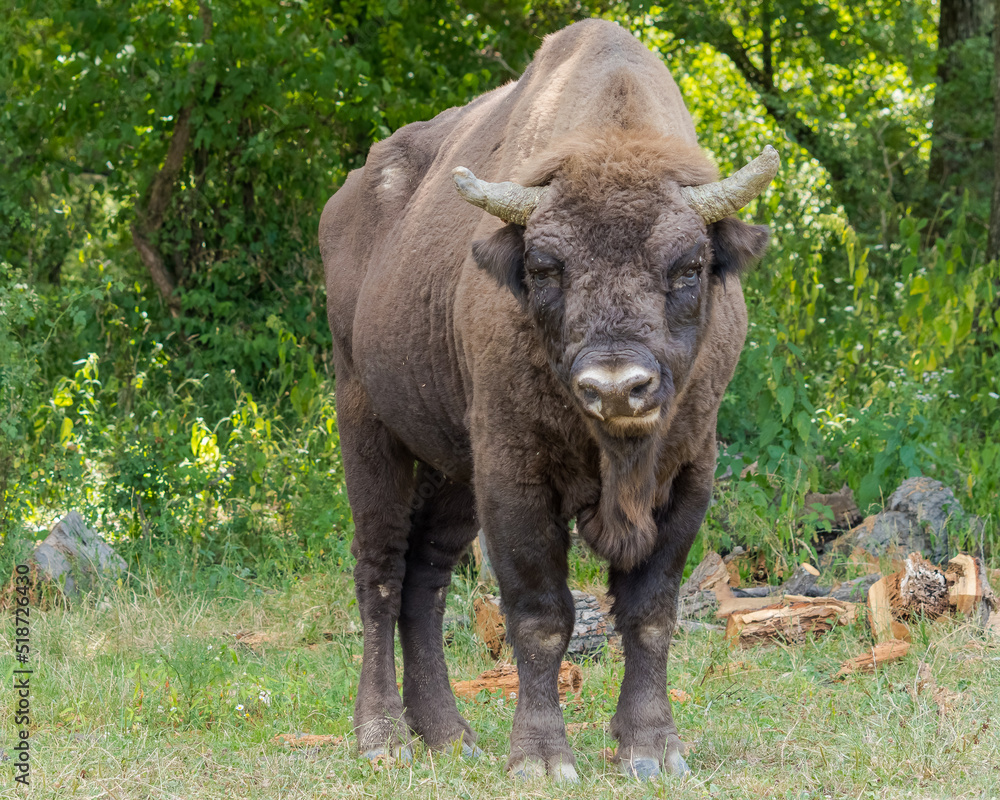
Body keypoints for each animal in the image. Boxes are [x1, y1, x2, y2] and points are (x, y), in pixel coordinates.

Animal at [319, 18, 777, 782]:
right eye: (543, 267)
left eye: (690, 265)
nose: (617, 386)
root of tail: (347, 199)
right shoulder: (515, 474)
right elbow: (539, 616)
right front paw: (540, 758)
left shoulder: (689, 474)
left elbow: (651, 611)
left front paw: (652, 750)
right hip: (367, 421)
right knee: (380, 571)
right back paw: (381, 737)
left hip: (455, 471)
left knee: (425, 580)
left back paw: (449, 734)